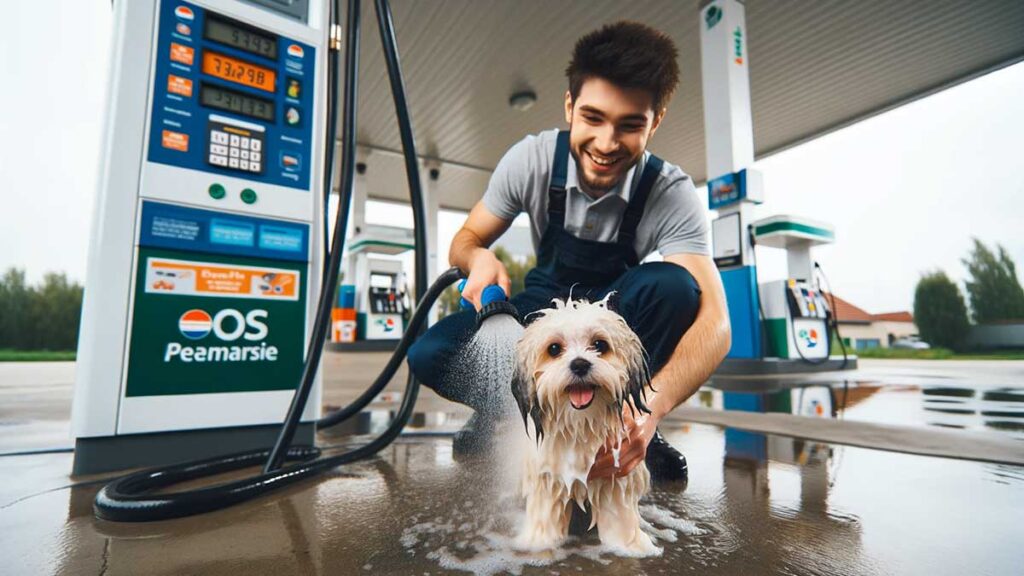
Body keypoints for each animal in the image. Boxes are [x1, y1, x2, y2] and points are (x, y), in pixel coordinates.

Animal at [509, 293, 659, 553]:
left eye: (600, 345)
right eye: (554, 349)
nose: (579, 364)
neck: (580, 425)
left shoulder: (616, 479)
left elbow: (619, 523)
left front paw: (627, 546)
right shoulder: (548, 480)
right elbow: (545, 522)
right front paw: (539, 544)